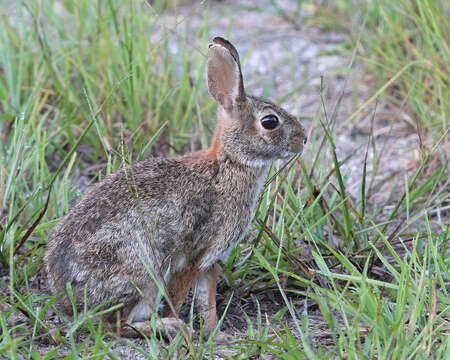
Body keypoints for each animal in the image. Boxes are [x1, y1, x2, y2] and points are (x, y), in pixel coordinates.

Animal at [44, 37, 308, 340]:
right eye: (270, 122)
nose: (304, 139)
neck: (228, 163)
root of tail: (67, 301)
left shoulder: (210, 260)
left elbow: (207, 301)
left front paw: (215, 335)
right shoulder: (195, 255)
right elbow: (178, 298)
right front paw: (187, 330)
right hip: (142, 272)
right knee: (114, 325)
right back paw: (168, 327)